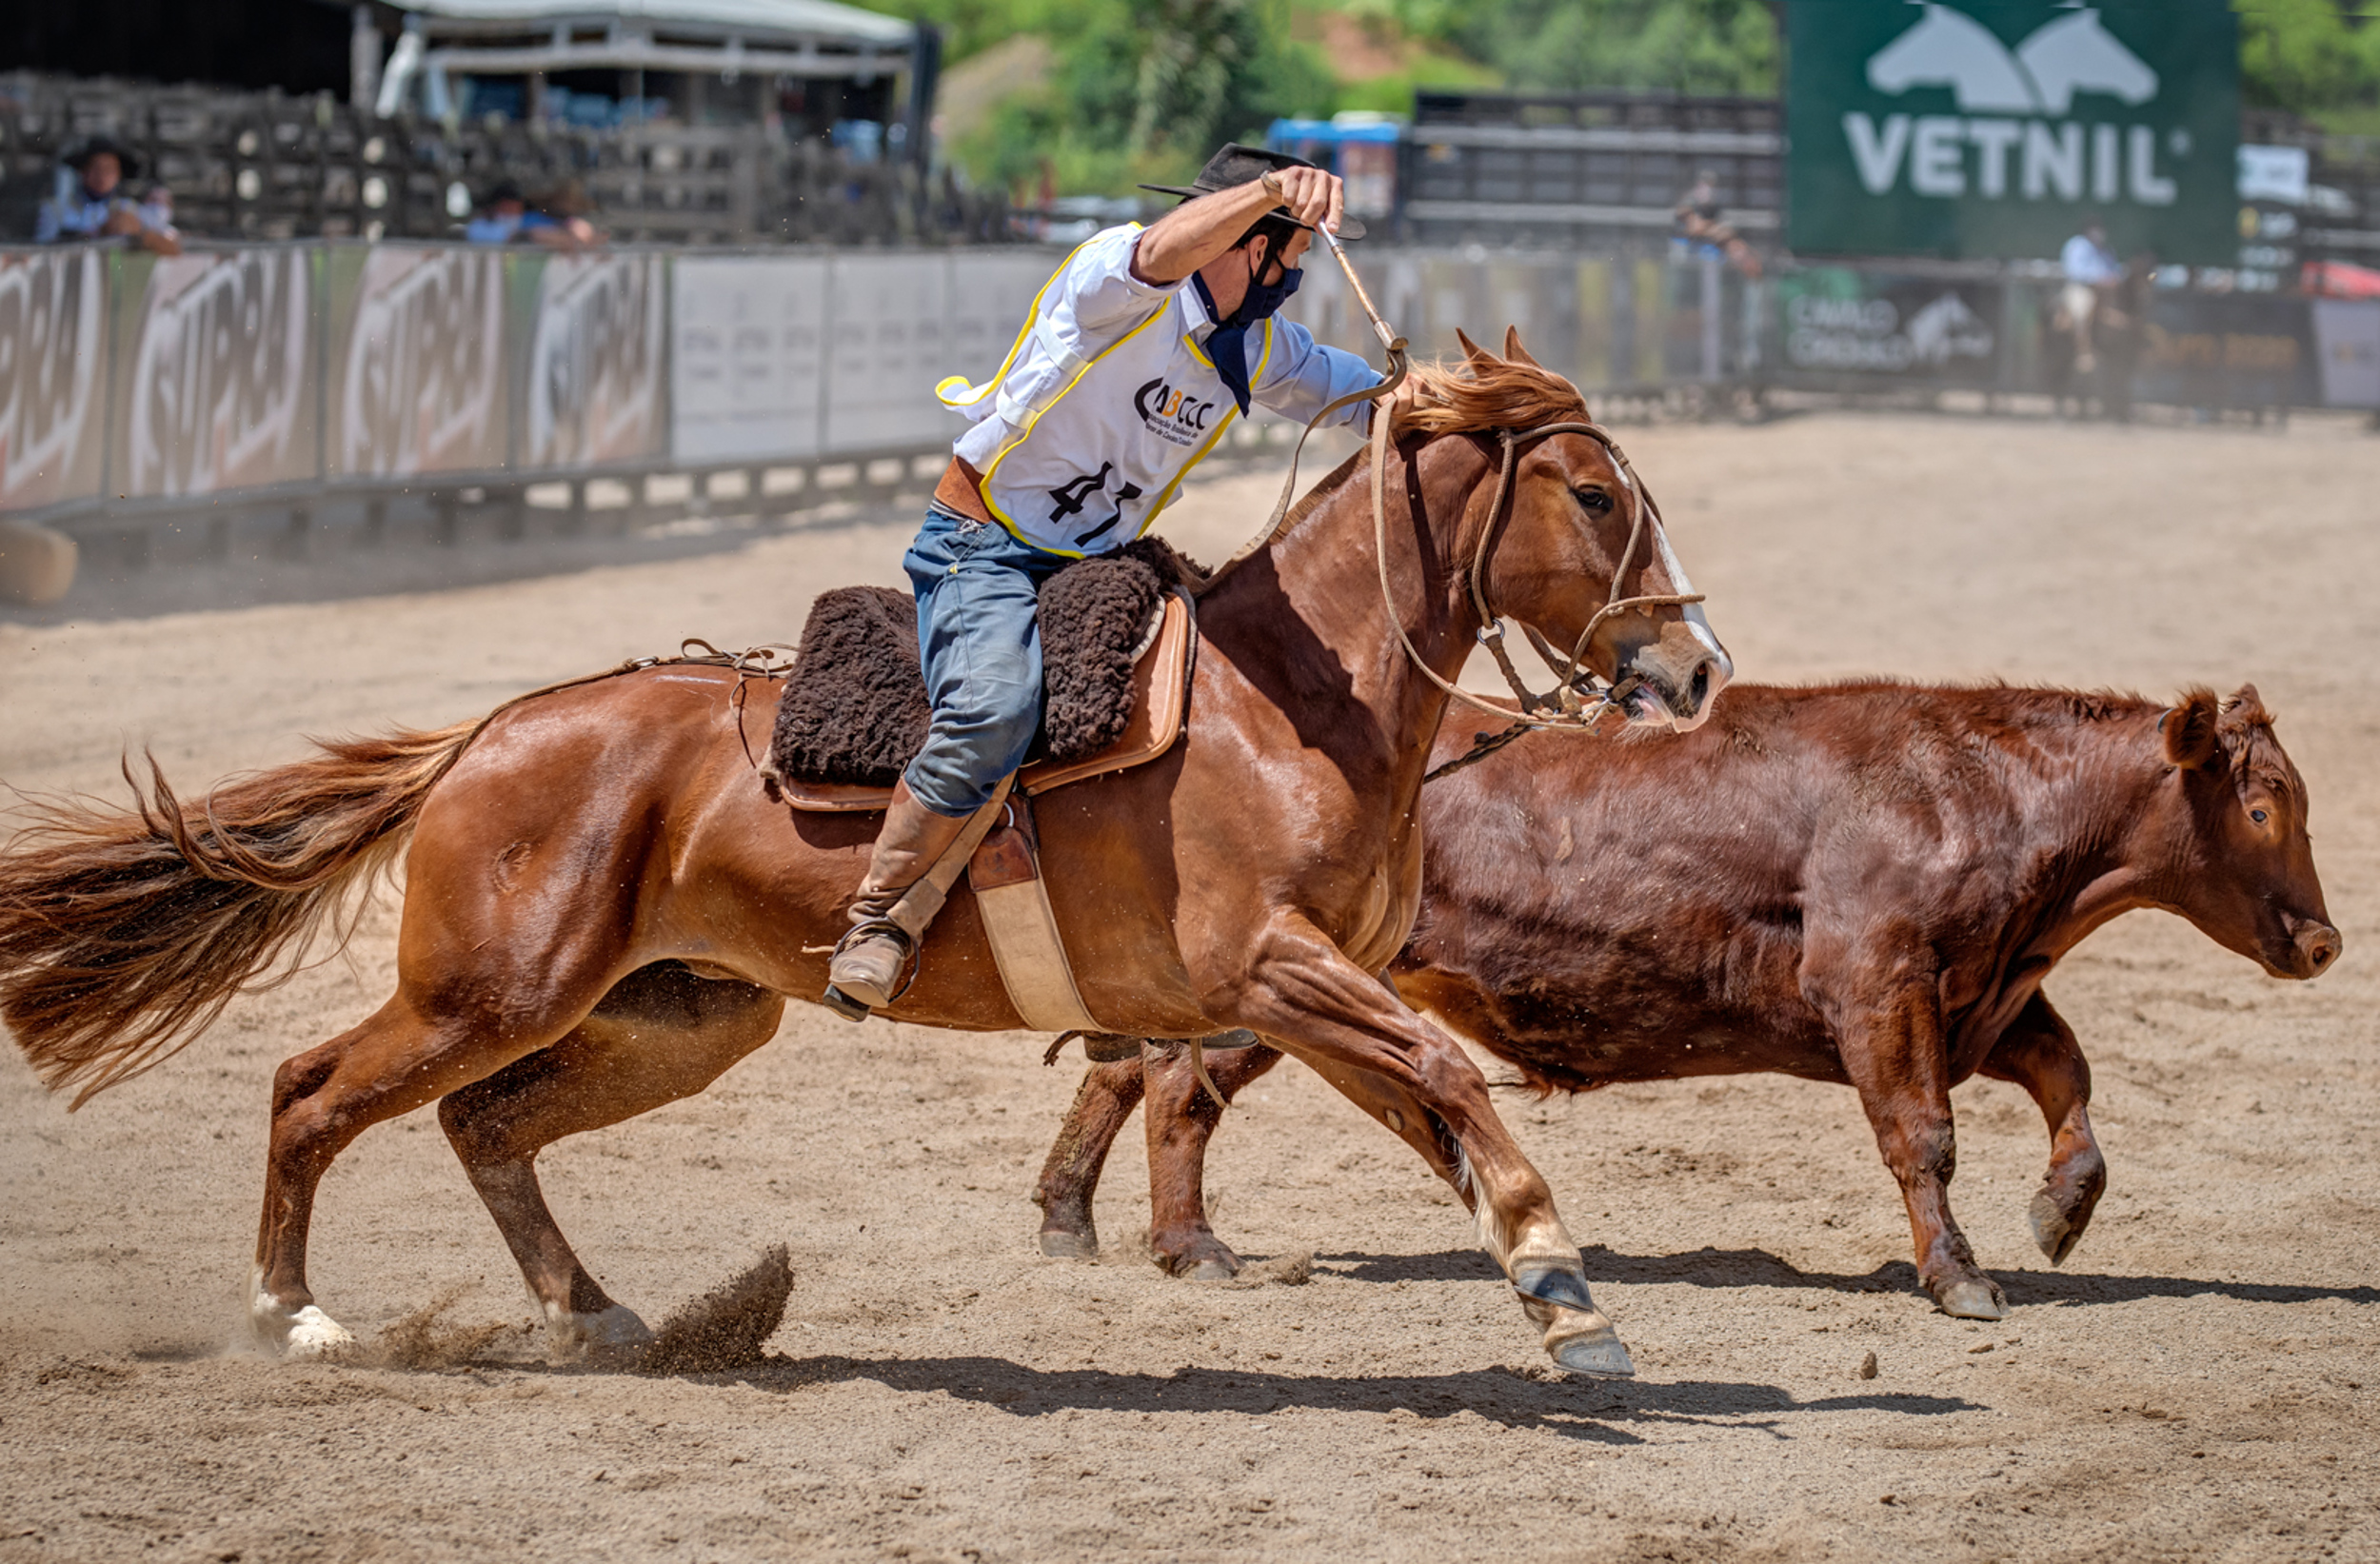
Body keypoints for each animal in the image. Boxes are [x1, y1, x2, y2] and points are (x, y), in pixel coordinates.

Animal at [0, 335, 1733, 1371]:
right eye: (1594, 492)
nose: (1699, 666)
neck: (1285, 703)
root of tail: (490, 732)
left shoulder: (1304, 993)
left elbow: (1426, 1107)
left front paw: (1546, 1286)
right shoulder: (1269, 966)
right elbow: (1438, 1076)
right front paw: (1561, 1276)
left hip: (675, 1013)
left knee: (483, 1125)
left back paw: (596, 1309)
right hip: (484, 987)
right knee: (312, 1090)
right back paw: (292, 1311)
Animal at [1033, 676, 2332, 1314]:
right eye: (2262, 803)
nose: (2322, 938)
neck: (1972, 787)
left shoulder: (1981, 993)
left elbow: (2069, 1075)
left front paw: (2061, 1208)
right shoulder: (1878, 984)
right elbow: (1923, 1135)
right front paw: (1959, 1274)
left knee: (1130, 1067)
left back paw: (1070, 1215)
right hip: (1287, 982)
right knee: (1179, 1085)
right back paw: (1188, 1243)